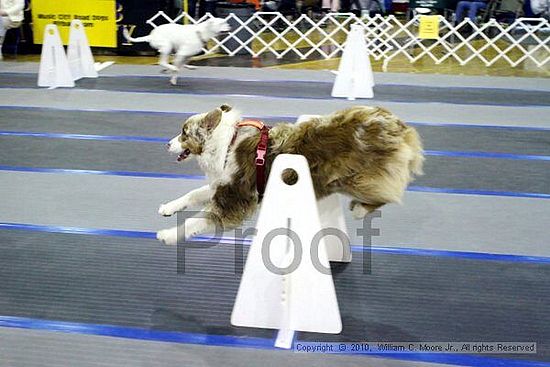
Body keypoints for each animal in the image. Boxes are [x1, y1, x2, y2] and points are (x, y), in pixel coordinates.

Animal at [157, 105, 424, 246]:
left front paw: (168, 234)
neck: (227, 142)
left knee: (388, 194)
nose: (167, 144)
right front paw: (168, 207)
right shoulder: (222, 183)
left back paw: (359, 209)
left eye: (184, 133)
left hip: (361, 179)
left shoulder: (233, 198)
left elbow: (196, 220)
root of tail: (399, 125)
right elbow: (192, 194)